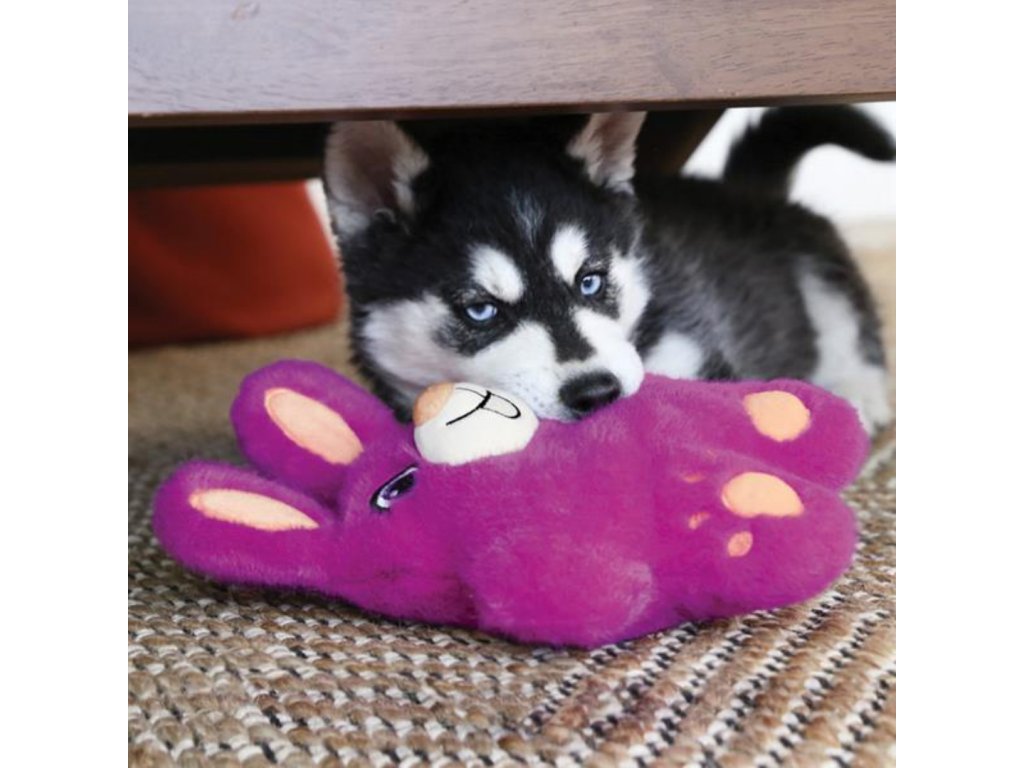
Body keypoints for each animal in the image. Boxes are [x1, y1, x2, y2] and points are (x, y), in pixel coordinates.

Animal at [321, 107, 894, 429]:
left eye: (590, 281)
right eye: (481, 310)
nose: (596, 393)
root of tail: (739, 187)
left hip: (817, 257)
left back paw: (858, 392)